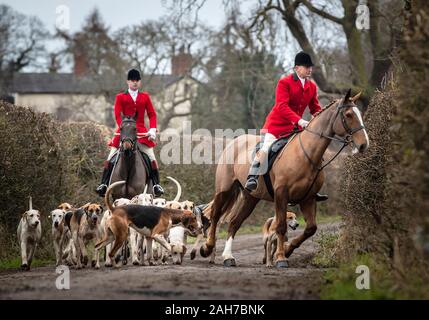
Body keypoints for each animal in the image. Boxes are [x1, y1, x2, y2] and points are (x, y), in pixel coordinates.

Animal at [200, 89, 368, 268]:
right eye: (349, 114)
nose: (364, 144)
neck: (306, 154)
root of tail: (235, 141)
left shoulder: (308, 198)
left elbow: (311, 228)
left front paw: (287, 250)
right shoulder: (281, 194)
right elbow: (281, 226)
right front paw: (281, 257)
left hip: (250, 197)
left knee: (234, 223)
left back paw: (228, 257)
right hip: (224, 189)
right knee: (215, 216)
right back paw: (207, 248)